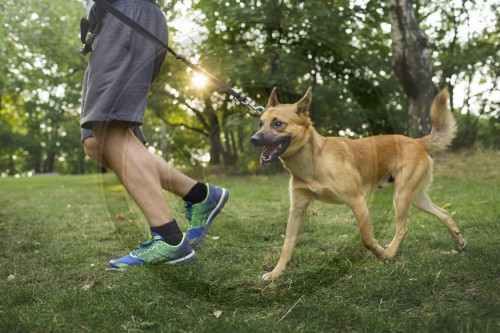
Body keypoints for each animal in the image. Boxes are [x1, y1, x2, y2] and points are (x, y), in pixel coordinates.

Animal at [252, 87, 466, 278]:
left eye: (278, 123)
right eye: (260, 124)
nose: (253, 139)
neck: (313, 160)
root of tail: (416, 141)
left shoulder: (358, 201)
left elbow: (367, 238)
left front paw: (381, 253)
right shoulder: (298, 209)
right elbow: (286, 246)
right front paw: (276, 273)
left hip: (401, 195)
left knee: (403, 228)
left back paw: (390, 252)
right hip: (416, 197)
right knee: (444, 213)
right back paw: (459, 240)